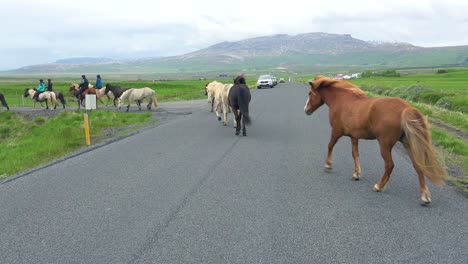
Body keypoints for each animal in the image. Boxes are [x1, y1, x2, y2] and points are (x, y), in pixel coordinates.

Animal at [304, 75, 446, 205]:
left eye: (310, 93)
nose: (306, 110)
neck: (341, 100)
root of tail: (406, 108)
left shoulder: (336, 132)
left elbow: (330, 145)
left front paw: (328, 165)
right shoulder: (354, 137)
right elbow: (355, 154)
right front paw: (356, 174)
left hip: (385, 144)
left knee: (389, 165)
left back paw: (379, 186)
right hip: (408, 143)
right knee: (418, 166)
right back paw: (424, 196)